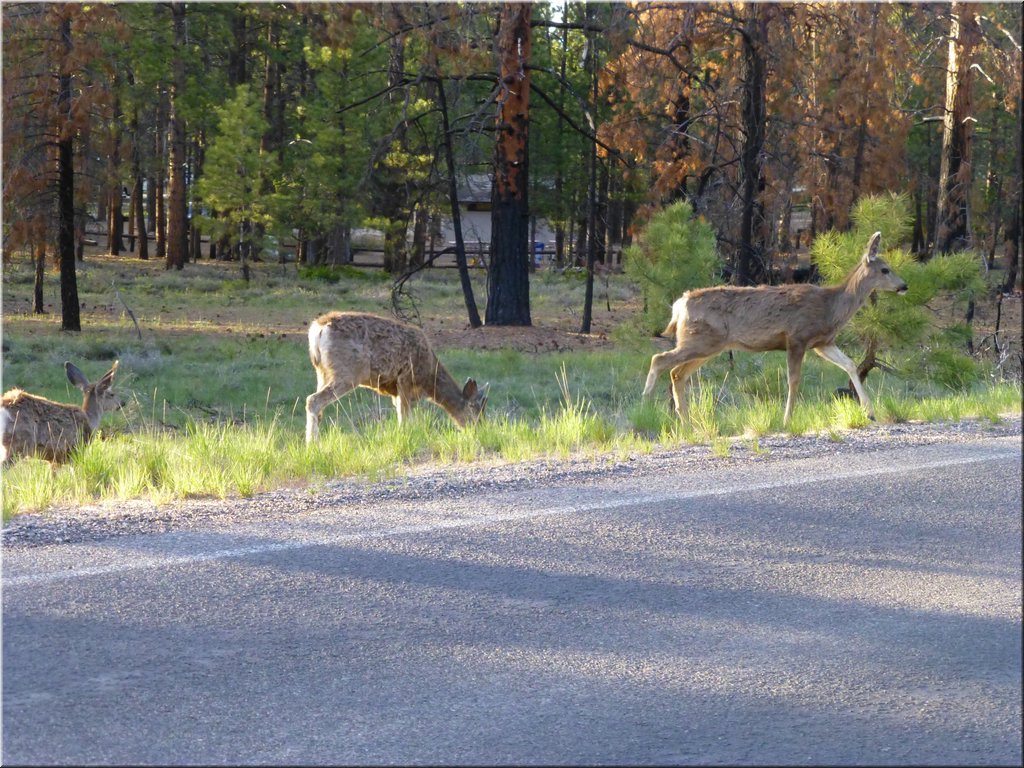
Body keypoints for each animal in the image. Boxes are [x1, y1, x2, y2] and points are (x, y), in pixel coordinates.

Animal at [303, 313, 487, 444]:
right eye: (475, 410)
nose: (480, 430)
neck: (429, 378)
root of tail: (318, 329)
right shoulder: (405, 380)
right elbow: (404, 418)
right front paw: (406, 437)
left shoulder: (396, 392)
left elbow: (403, 415)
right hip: (348, 372)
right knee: (313, 400)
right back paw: (312, 444)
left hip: (322, 372)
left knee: (318, 407)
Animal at [643, 231, 909, 430]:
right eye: (885, 269)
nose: (904, 286)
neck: (831, 307)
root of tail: (680, 305)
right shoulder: (797, 337)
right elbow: (794, 379)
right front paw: (787, 420)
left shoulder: (822, 343)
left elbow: (850, 364)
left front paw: (870, 412)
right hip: (701, 340)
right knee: (659, 359)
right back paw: (645, 409)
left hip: (708, 345)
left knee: (677, 373)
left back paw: (686, 423)